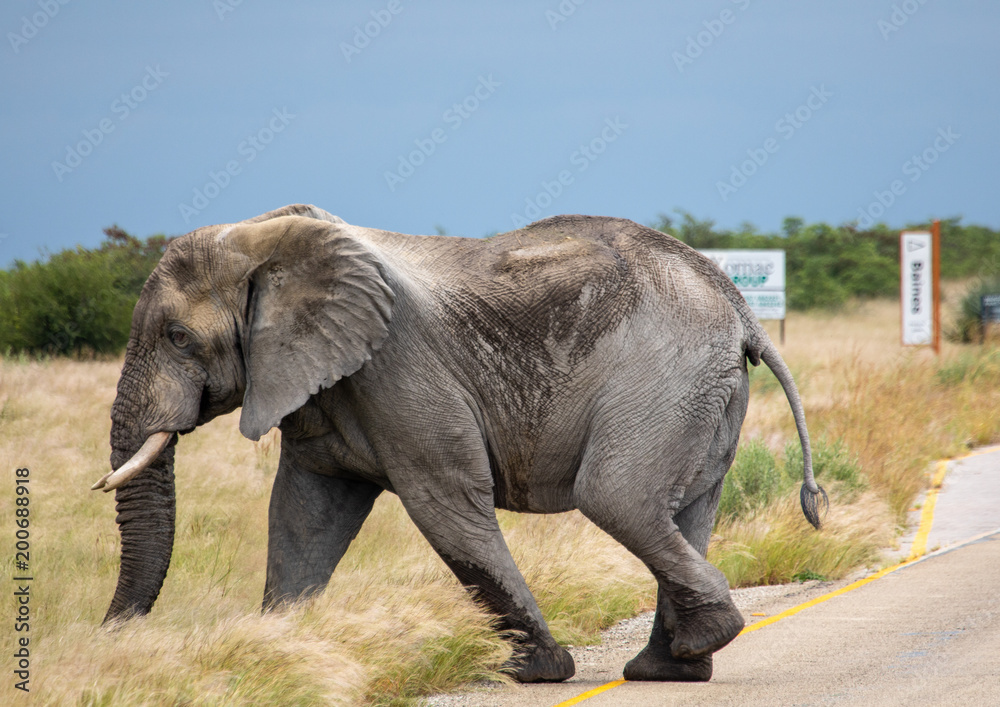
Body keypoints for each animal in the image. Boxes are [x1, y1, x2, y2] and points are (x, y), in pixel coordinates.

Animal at [93, 203, 825, 683]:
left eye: (177, 338)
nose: (108, 640)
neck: (266, 239)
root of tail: (739, 308)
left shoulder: (396, 366)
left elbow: (442, 500)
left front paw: (535, 673)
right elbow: (304, 515)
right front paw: (278, 657)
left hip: (663, 375)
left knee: (615, 497)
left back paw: (699, 643)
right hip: (704, 391)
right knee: (687, 507)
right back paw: (667, 669)